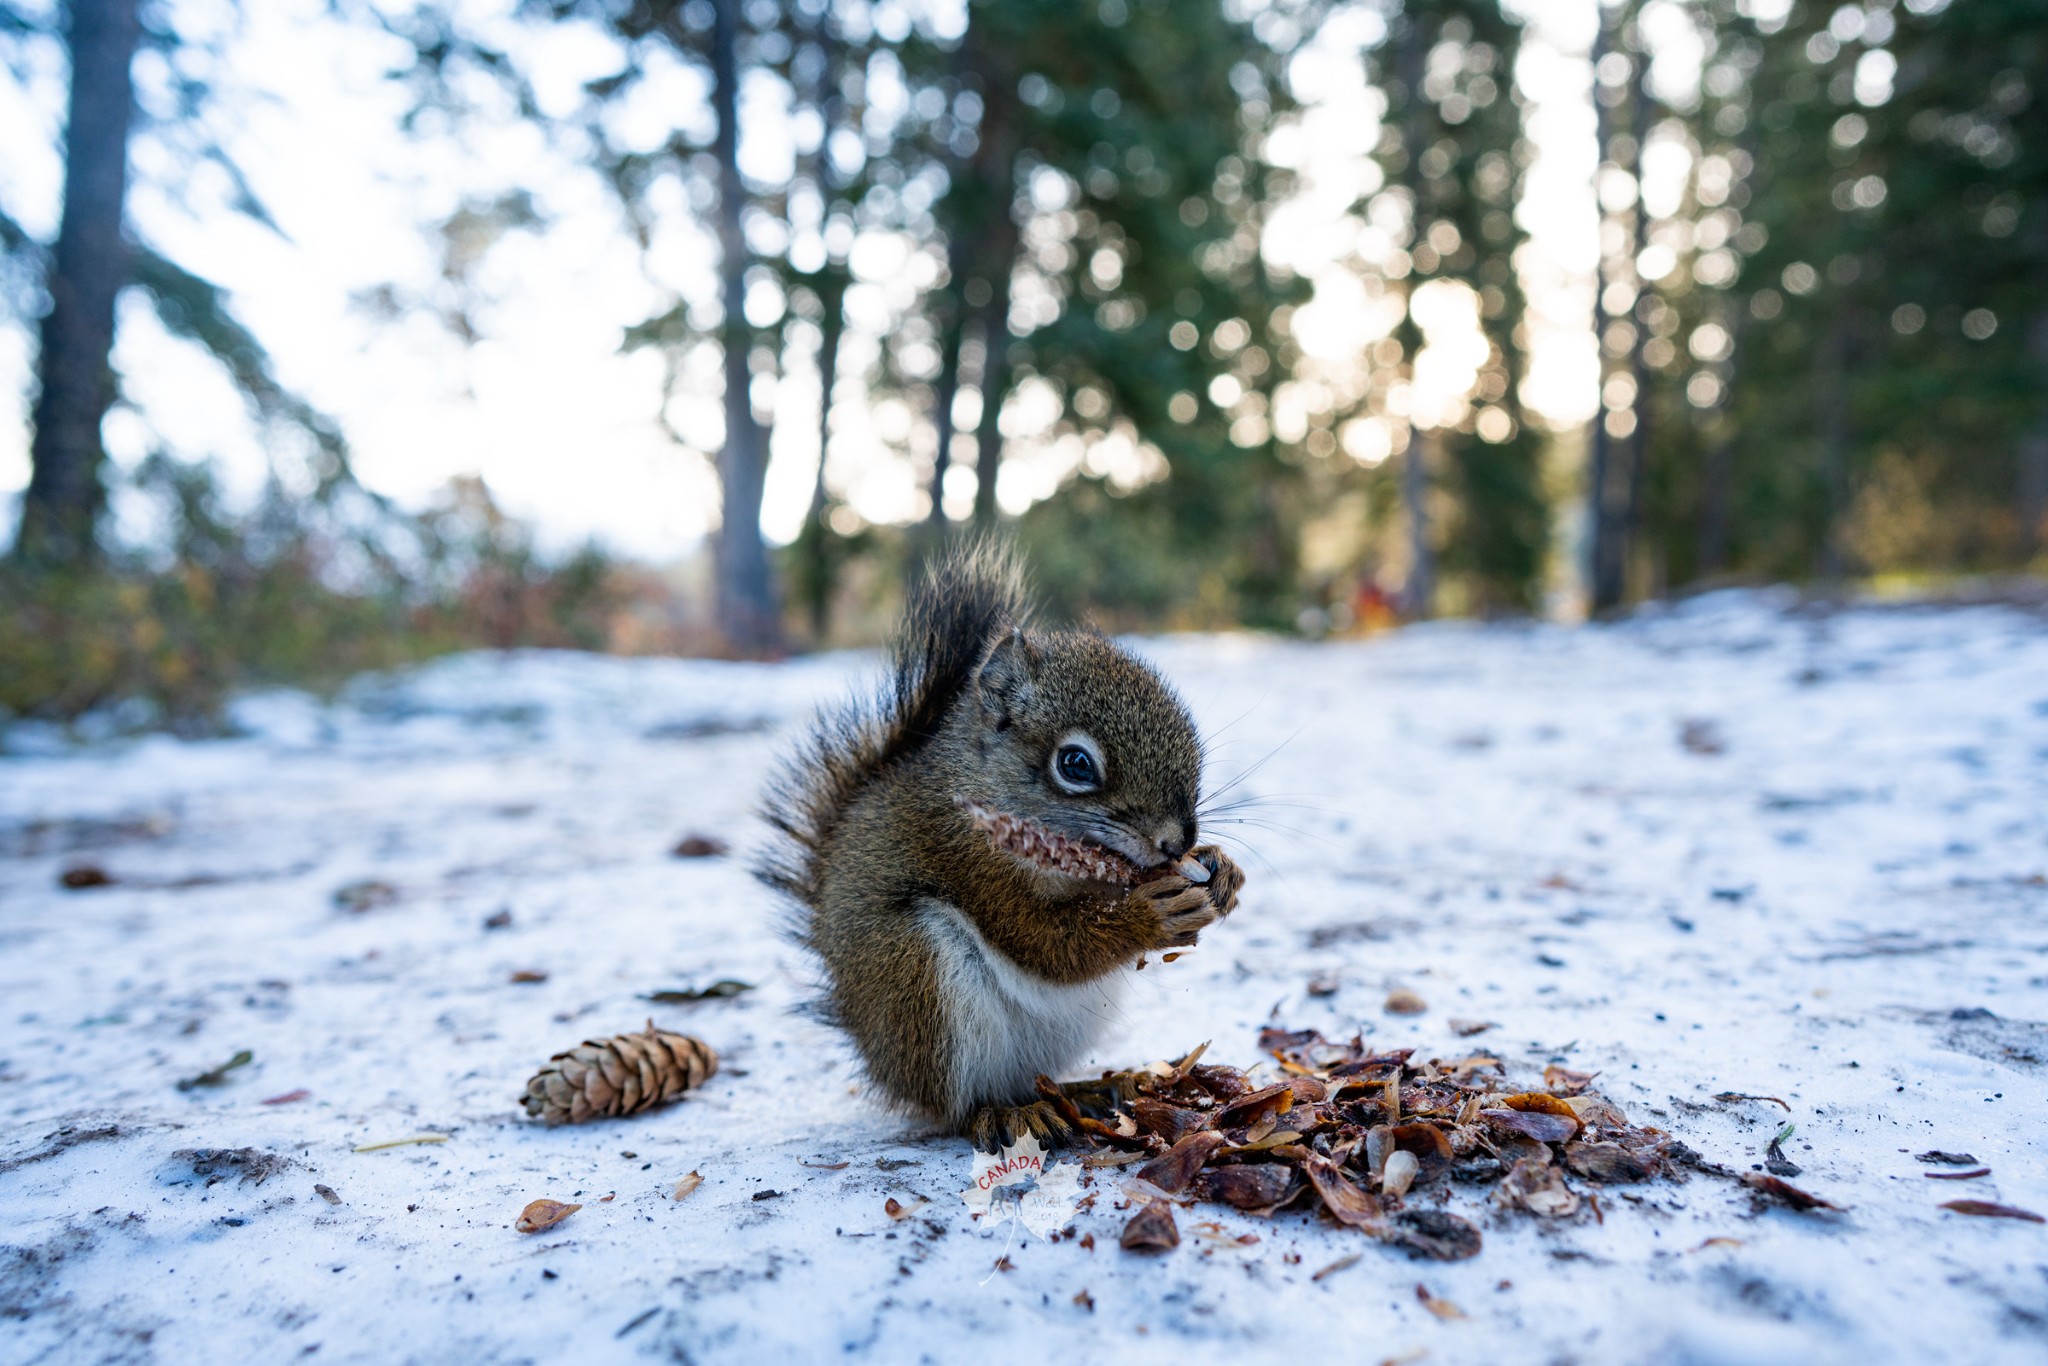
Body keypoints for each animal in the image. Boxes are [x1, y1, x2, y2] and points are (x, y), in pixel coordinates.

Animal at [761, 540, 1245, 1146]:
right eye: (1075, 764)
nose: (1177, 840)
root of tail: (881, 1057)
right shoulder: (966, 857)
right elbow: (1042, 940)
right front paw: (1148, 916)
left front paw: (1221, 871)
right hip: (916, 976)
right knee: (957, 1103)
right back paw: (1002, 1113)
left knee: (1034, 1077)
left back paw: (1100, 1087)